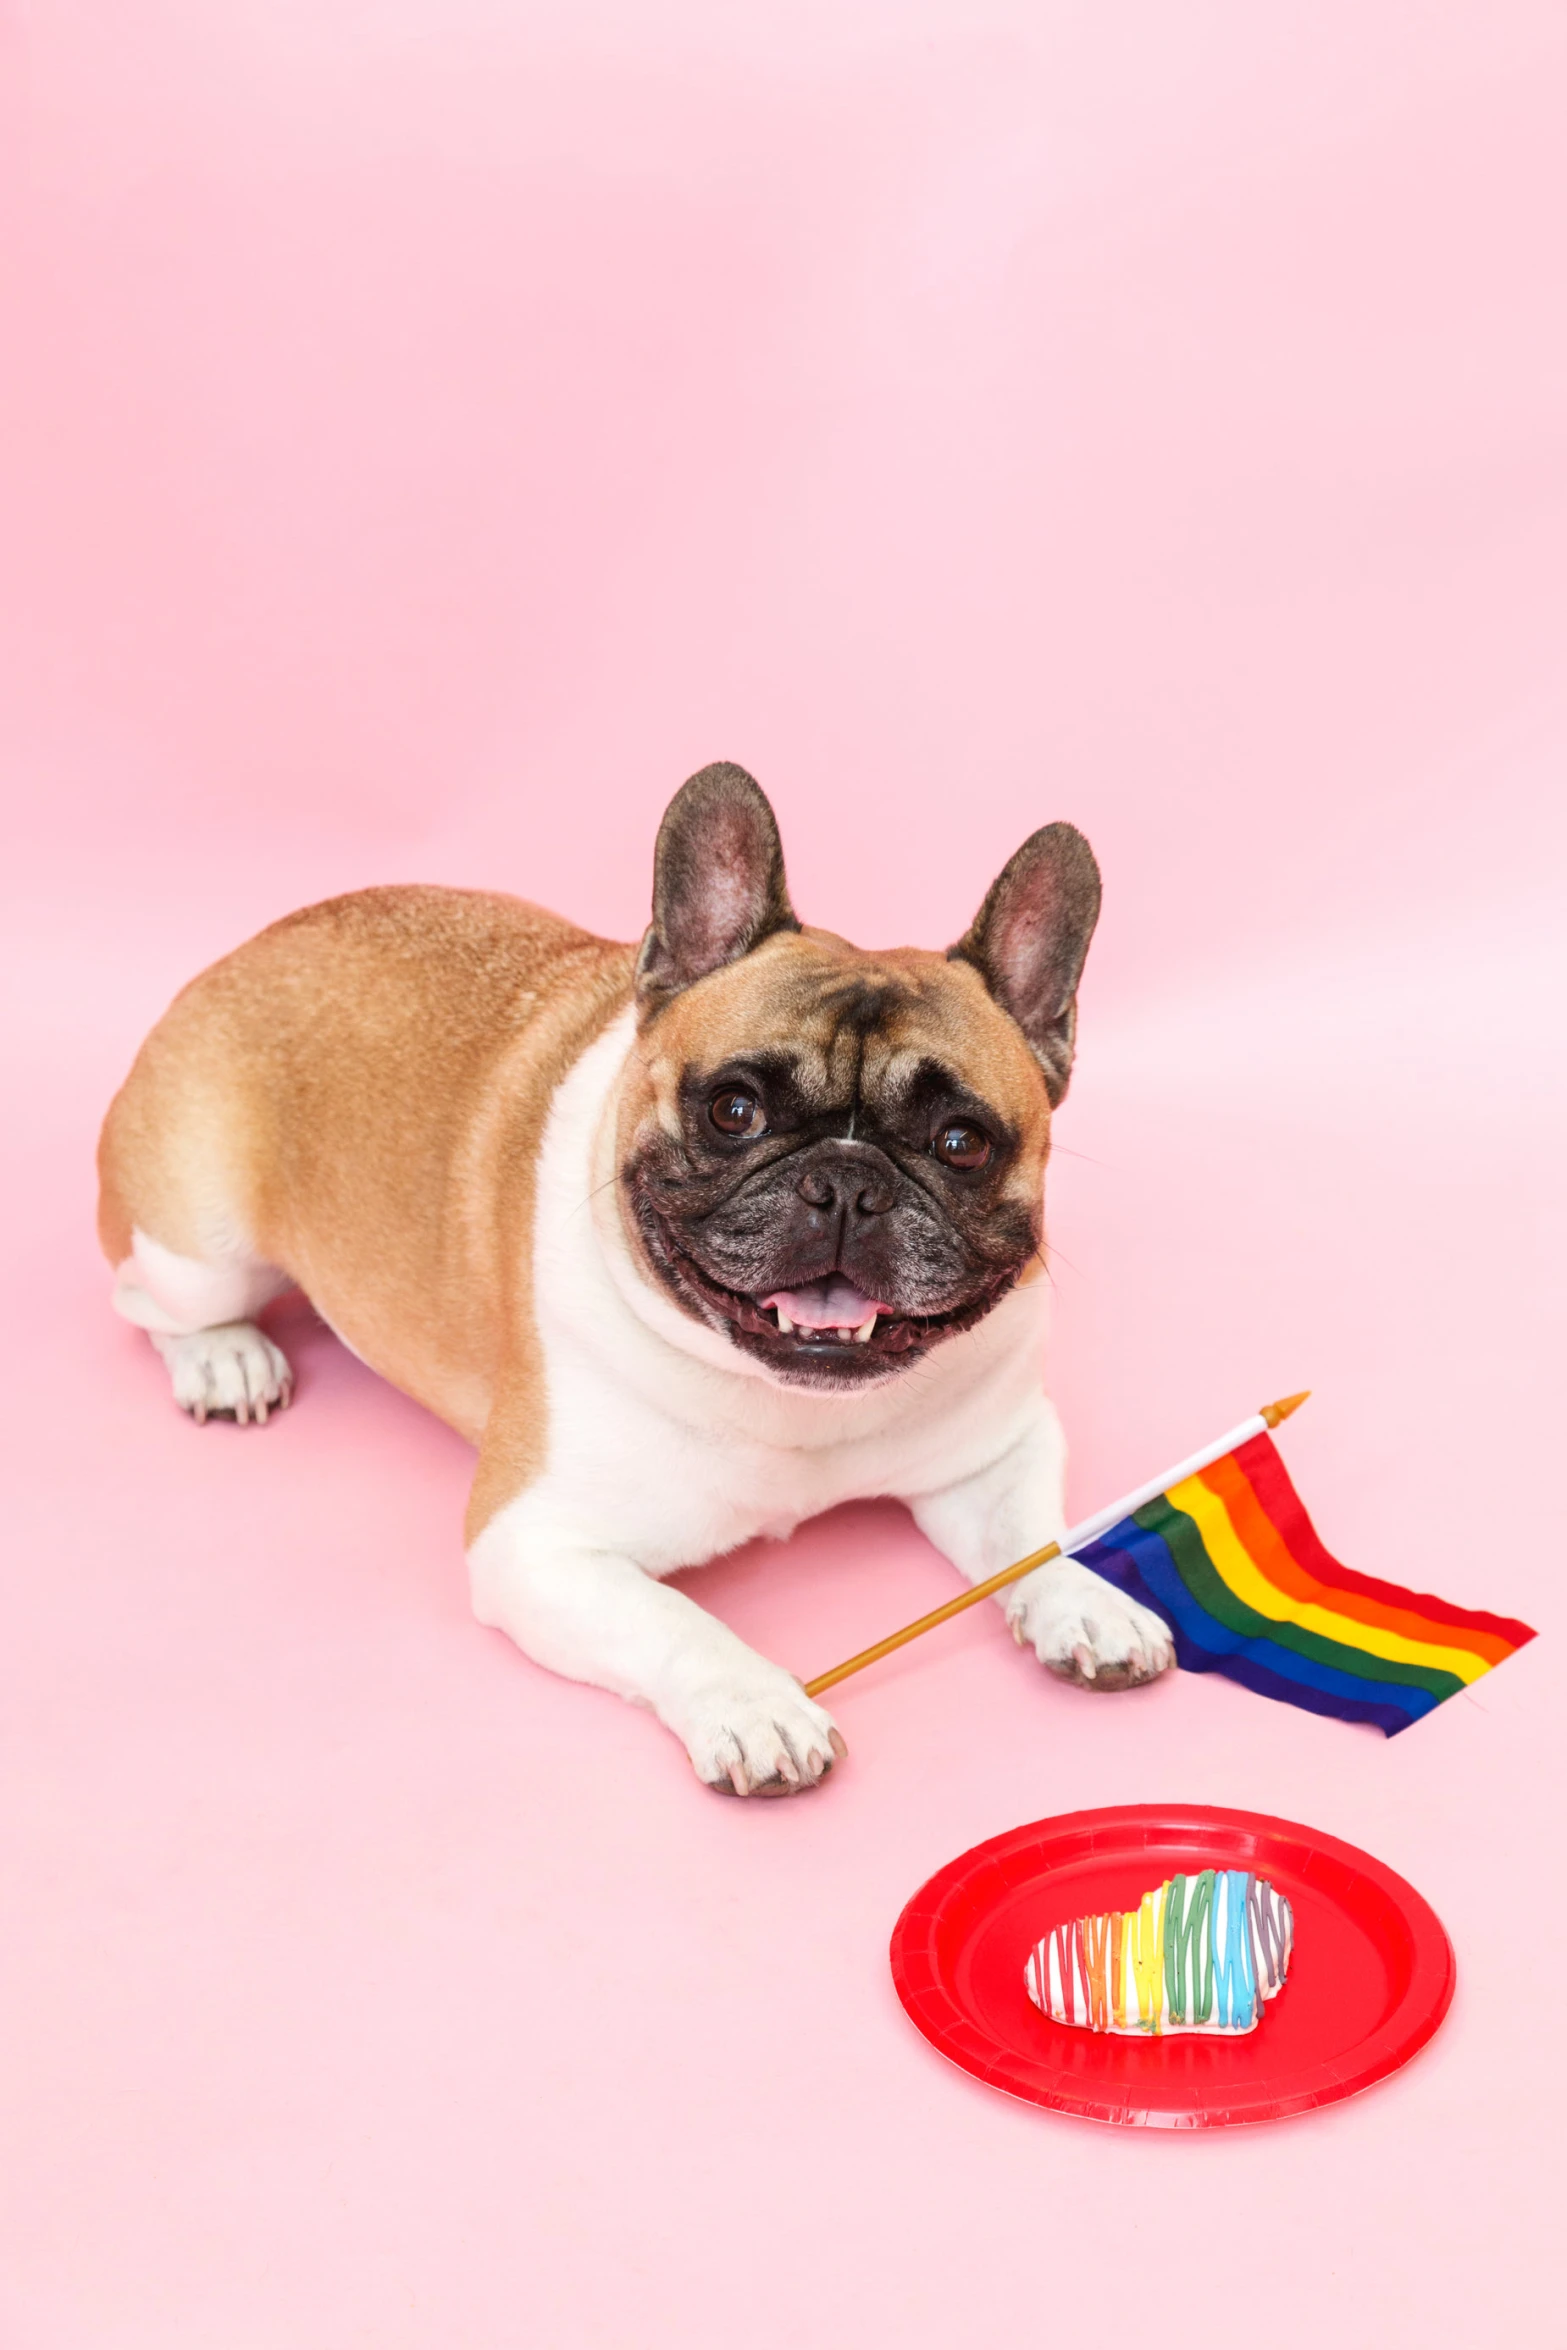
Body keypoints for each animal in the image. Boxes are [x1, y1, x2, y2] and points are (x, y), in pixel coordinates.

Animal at [98, 761, 1169, 1785]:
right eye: (734, 1110)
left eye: (960, 1143)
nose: (848, 1181)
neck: (794, 1402)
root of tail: (247, 947)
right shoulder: (540, 1544)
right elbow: (672, 1620)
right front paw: (755, 1706)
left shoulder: (996, 1452)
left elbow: (1035, 1534)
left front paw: (1083, 1600)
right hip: (203, 1244)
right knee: (145, 1297)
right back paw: (224, 1361)